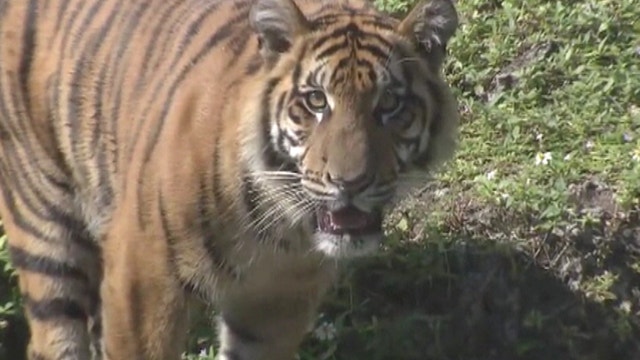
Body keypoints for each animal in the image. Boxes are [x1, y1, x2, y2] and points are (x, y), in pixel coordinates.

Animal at [0, 0, 460, 358]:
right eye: (316, 101)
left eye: (389, 104)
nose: (351, 182)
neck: (280, 229)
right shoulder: (141, 282)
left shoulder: (276, 304)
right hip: (44, 227)